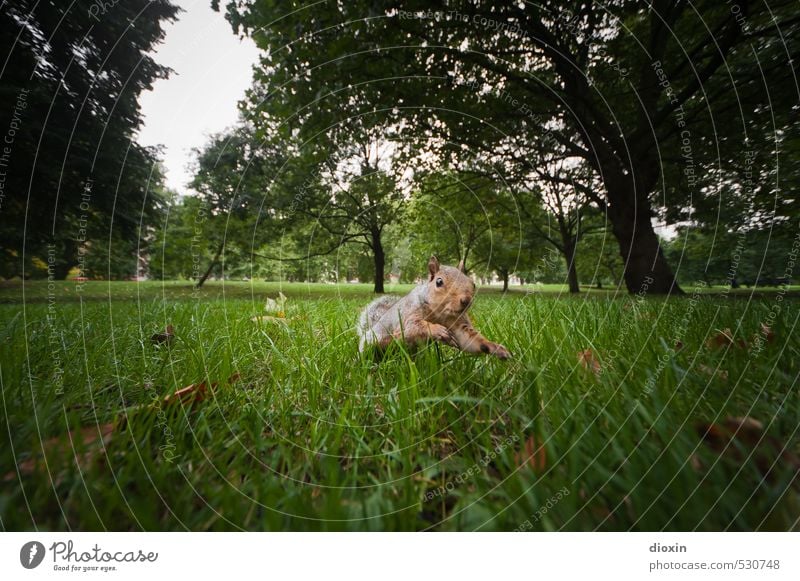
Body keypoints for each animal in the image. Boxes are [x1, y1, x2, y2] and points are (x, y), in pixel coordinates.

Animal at [358, 255, 512, 358]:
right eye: (439, 282)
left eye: (473, 283)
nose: (466, 300)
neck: (440, 313)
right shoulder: (408, 315)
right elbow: (412, 327)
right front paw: (437, 330)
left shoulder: (457, 322)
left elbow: (470, 340)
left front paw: (496, 347)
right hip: (372, 342)